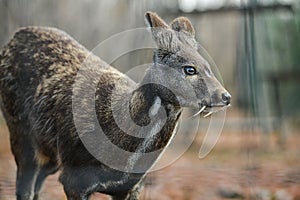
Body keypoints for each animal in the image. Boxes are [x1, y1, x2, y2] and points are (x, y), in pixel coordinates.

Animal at [0, 11, 230, 199]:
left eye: (208, 67)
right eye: (189, 69)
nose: (226, 96)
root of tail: (12, 39)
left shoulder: (131, 187)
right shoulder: (74, 179)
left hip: (50, 154)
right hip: (20, 131)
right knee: (25, 187)